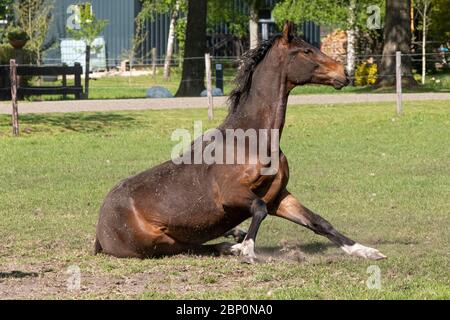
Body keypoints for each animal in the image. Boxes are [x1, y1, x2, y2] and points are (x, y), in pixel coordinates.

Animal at [95, 22, 386, 262]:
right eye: (306, 51)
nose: (344, 73)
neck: (251, 140)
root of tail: (100, 231)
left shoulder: (280, 196)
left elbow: (320, 222)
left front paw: (365, 251)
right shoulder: (232, 194)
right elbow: (259, 209)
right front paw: (247, 250)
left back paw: (233, 238)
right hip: (156, 241)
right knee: (188, 248)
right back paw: (231, 245)